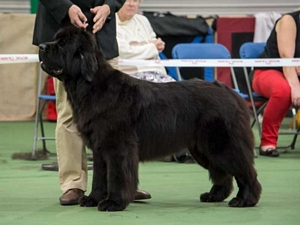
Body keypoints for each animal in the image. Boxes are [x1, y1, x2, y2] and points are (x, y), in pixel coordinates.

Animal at [39, 27, 260, 212]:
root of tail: (230, 92)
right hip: (204, 148)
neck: (90, 87)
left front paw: (114, 202)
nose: (40, 46)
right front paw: (93, 199)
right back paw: (214, 195)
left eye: (62, 44)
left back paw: (245, 200)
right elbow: (100, 177)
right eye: (55, 39)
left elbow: (116, 176)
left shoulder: (118, 146)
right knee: (222, 173)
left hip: (222, 144)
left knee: (245, 172)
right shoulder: (99, 147)